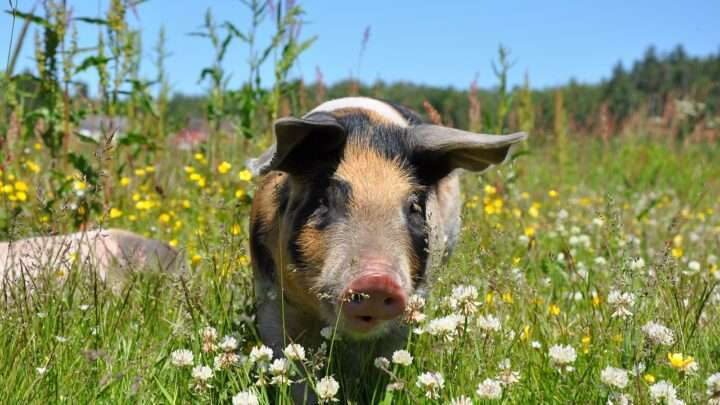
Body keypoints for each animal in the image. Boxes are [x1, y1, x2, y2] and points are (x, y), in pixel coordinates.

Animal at [248, 96, 524, 396]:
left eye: (414, 206)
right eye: (323, 200)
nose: (377, 280)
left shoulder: (412, 301)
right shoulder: (269, 294)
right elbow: (290, 361)